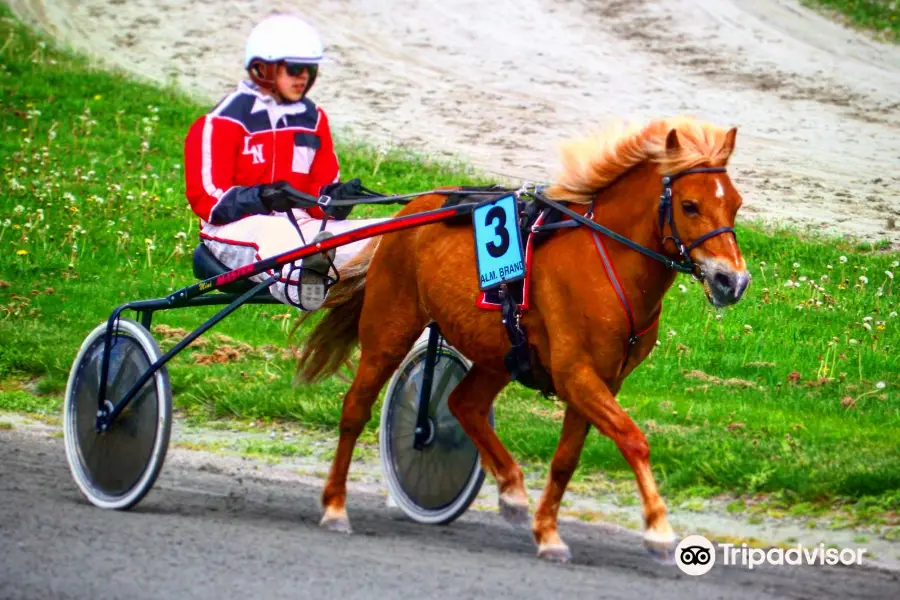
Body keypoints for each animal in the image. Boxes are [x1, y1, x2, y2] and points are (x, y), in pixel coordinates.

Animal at [296, 116, 752, 564]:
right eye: (690, 205)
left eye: (735, 203)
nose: (733, 281)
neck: (607, 261)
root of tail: (409, 212)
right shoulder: (576, 373)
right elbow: (632, 439)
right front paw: (658, 528)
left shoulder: (603, 378)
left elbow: (566, 459)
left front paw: (547, 531)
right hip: (390, 328)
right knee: (356, 409)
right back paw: (335, 506)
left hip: (500, 351)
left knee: (464, 404)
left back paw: (512, 490)